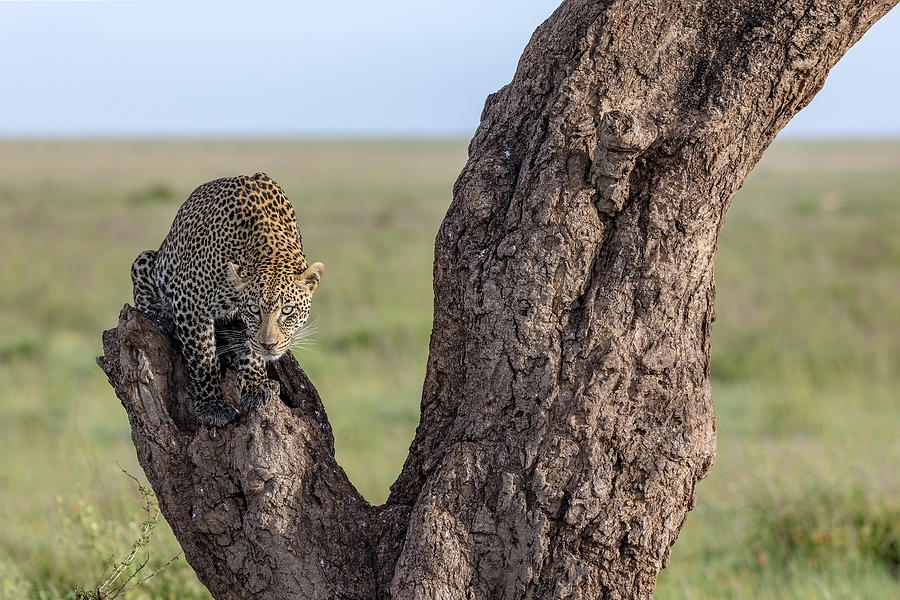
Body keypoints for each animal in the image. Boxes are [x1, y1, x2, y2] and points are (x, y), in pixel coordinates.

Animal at [130, 172, 320, 426]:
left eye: (287, 310)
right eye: (254, 310)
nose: (269, 345)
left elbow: (252, 345)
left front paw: (254, 384)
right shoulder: (190, 301)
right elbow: (202, 356)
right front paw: (212, 406)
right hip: (147, 261)